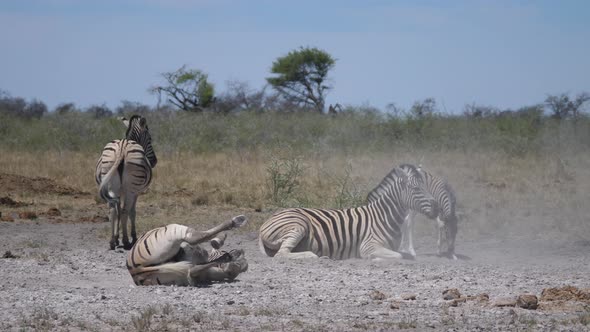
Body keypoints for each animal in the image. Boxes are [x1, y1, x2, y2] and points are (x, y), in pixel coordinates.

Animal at [93, 114, 157, 249]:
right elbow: (132, 212)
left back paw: (112, 242)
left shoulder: (118, 192)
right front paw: (133, 236)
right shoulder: (136, 192)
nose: (154, 161)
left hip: (111, 184)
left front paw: (117, 238)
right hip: (130, 189)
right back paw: (127, 241)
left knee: (113, 211)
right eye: (150, 138)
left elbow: (117, 210)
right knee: (124, 212)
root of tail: (122, 147)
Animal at [260, 170, 440, 260]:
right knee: (281, 254)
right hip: (299, 225)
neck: (385, 216)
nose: (437, 207)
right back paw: (315, 256)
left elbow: (404, 254)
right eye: (416, 189)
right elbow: (398, 256)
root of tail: (265, 222)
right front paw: (375, 259)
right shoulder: (368, 245)